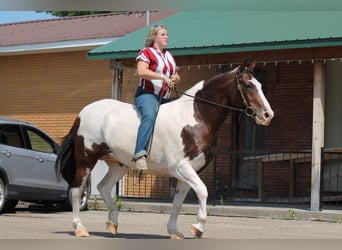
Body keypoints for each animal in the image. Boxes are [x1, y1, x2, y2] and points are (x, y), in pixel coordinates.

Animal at [55, 65, 276, 239]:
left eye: (260, 84)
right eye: (248, 85)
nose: (268, 115)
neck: (196, 117)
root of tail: (82, 114)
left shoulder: (189, 172)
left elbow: (178, 203)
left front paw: (175, 231)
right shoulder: (181, 168)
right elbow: (202, 191)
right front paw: (198, 227)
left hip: (118, 165)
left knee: (103, 187)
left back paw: (113, 223)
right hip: (85, 161)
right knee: (76, 190)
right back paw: (80, 228)